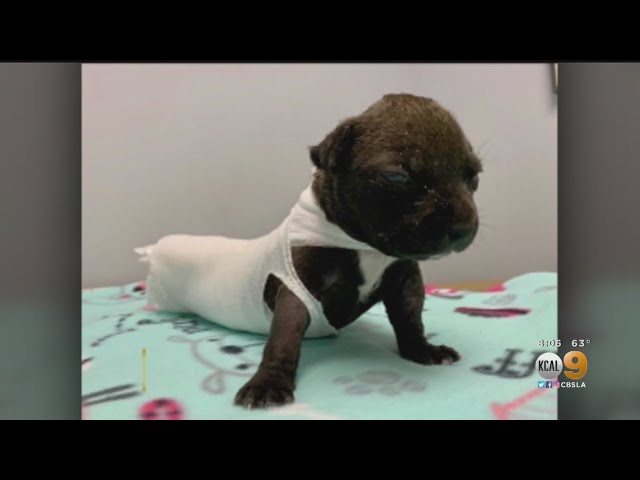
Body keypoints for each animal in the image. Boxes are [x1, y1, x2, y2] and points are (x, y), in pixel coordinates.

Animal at [138, 93, 481, 409]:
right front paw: (269, 381)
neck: (365, 246)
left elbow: (410, 317)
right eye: (397, 177)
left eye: (474, 176)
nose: (464, 227)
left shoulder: (405, 280)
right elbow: (284, 337)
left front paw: (421, 349)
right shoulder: (297, 289)